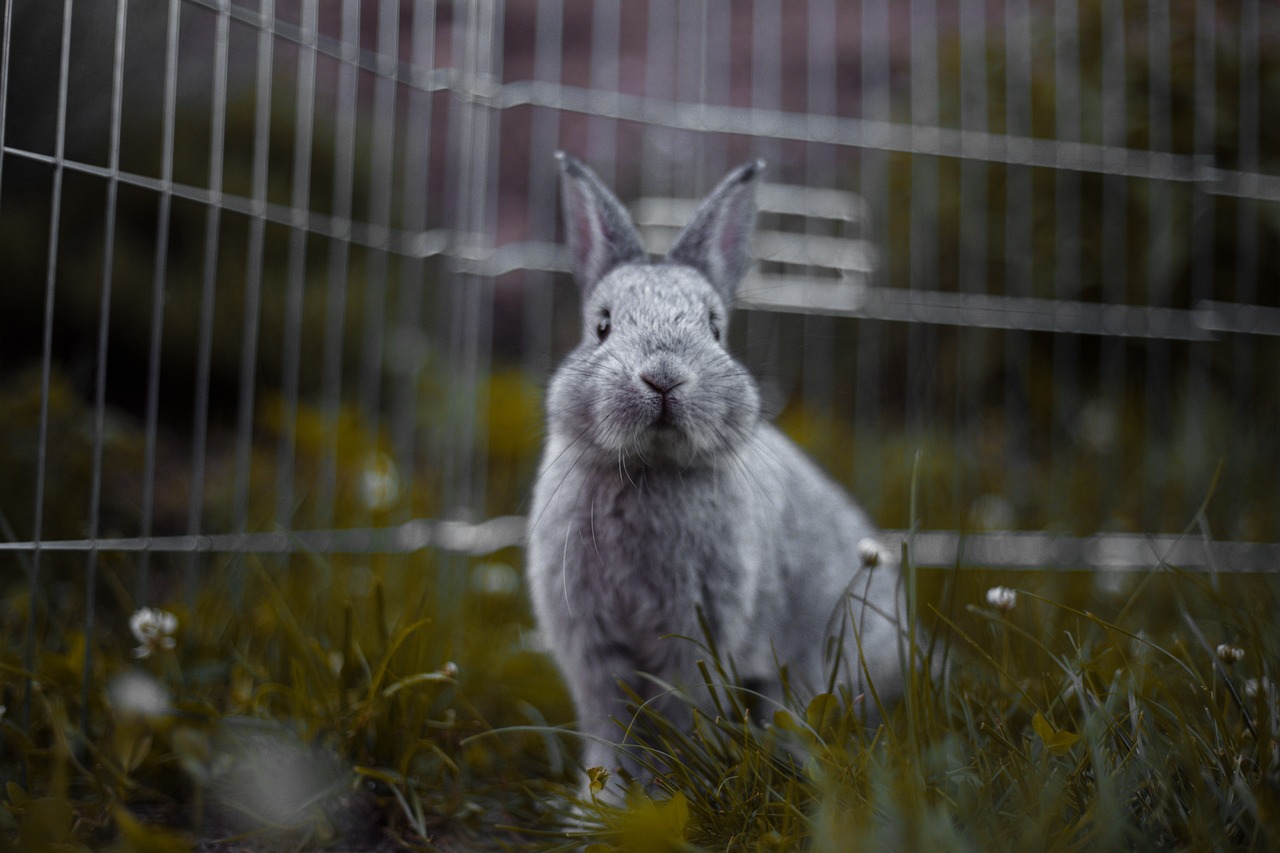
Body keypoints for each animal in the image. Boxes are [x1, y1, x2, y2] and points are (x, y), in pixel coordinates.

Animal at [524, 153, 916, 788]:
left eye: (714, 328)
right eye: (602, 327)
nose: (663, 378)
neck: (651, 468)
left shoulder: (699, 632)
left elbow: (681, 713)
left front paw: (672, 785)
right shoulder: (594, 647)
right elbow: (610, 727)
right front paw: (605, 800)